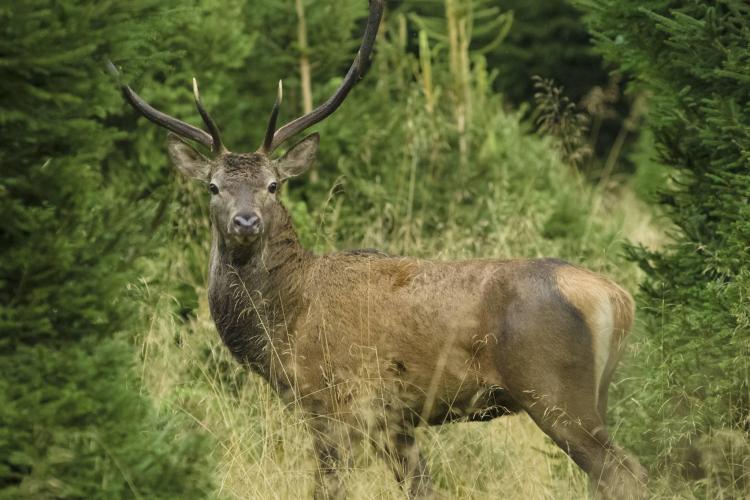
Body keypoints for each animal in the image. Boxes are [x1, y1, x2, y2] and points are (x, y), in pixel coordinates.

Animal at [110, 1, 646, 498]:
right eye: (214, 187)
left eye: (273, 185)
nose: (246, 222)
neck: (283, 323)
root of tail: (618, 299)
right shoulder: (394, 420)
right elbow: (421, 486)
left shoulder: (334, 401)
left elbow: (327, 488)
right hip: (593, 395)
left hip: (555, 390)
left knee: (625, 472)